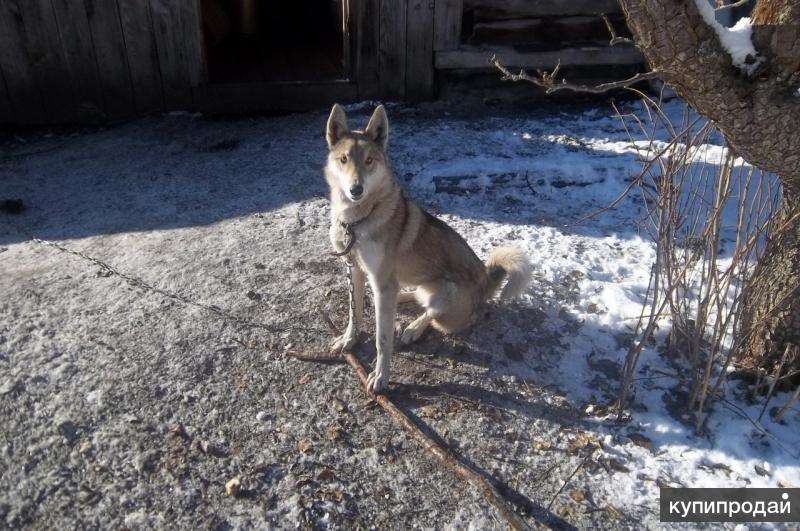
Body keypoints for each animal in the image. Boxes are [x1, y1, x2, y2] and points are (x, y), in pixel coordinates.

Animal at [322, 105, 536, 394]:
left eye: (369, 161)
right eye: (344, 159)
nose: (356, 189)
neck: (357, 220)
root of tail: (485, 281)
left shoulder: (380, 279)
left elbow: (382, 339)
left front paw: (381, 377)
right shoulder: (354, 268)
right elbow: (353, 313)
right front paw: (348, 339)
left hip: (449, 296)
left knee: (434, 314)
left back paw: (413, 327)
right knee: (414, 296)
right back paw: (402, 298)